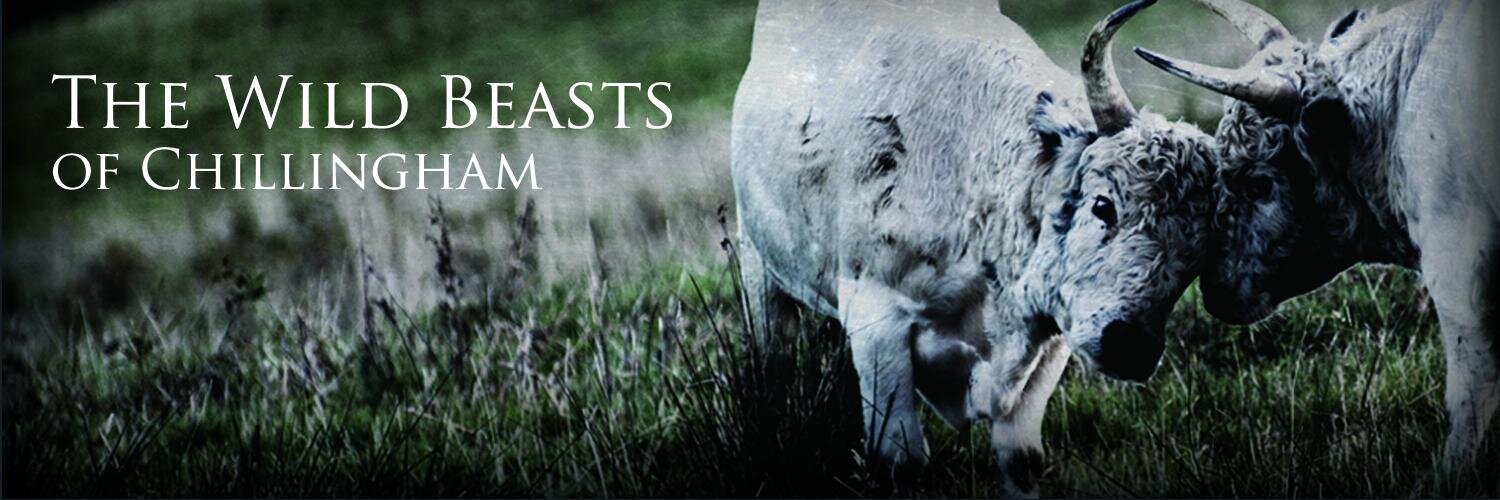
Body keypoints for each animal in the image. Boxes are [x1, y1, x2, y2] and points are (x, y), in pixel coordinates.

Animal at [731, 0, 1215, 494]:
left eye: (1200, 254)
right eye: (1103, 205)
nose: (1131, 346)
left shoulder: (1050, 340)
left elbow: (1021, 460)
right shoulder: (876, 319)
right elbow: (900, 460)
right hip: (758, 270)